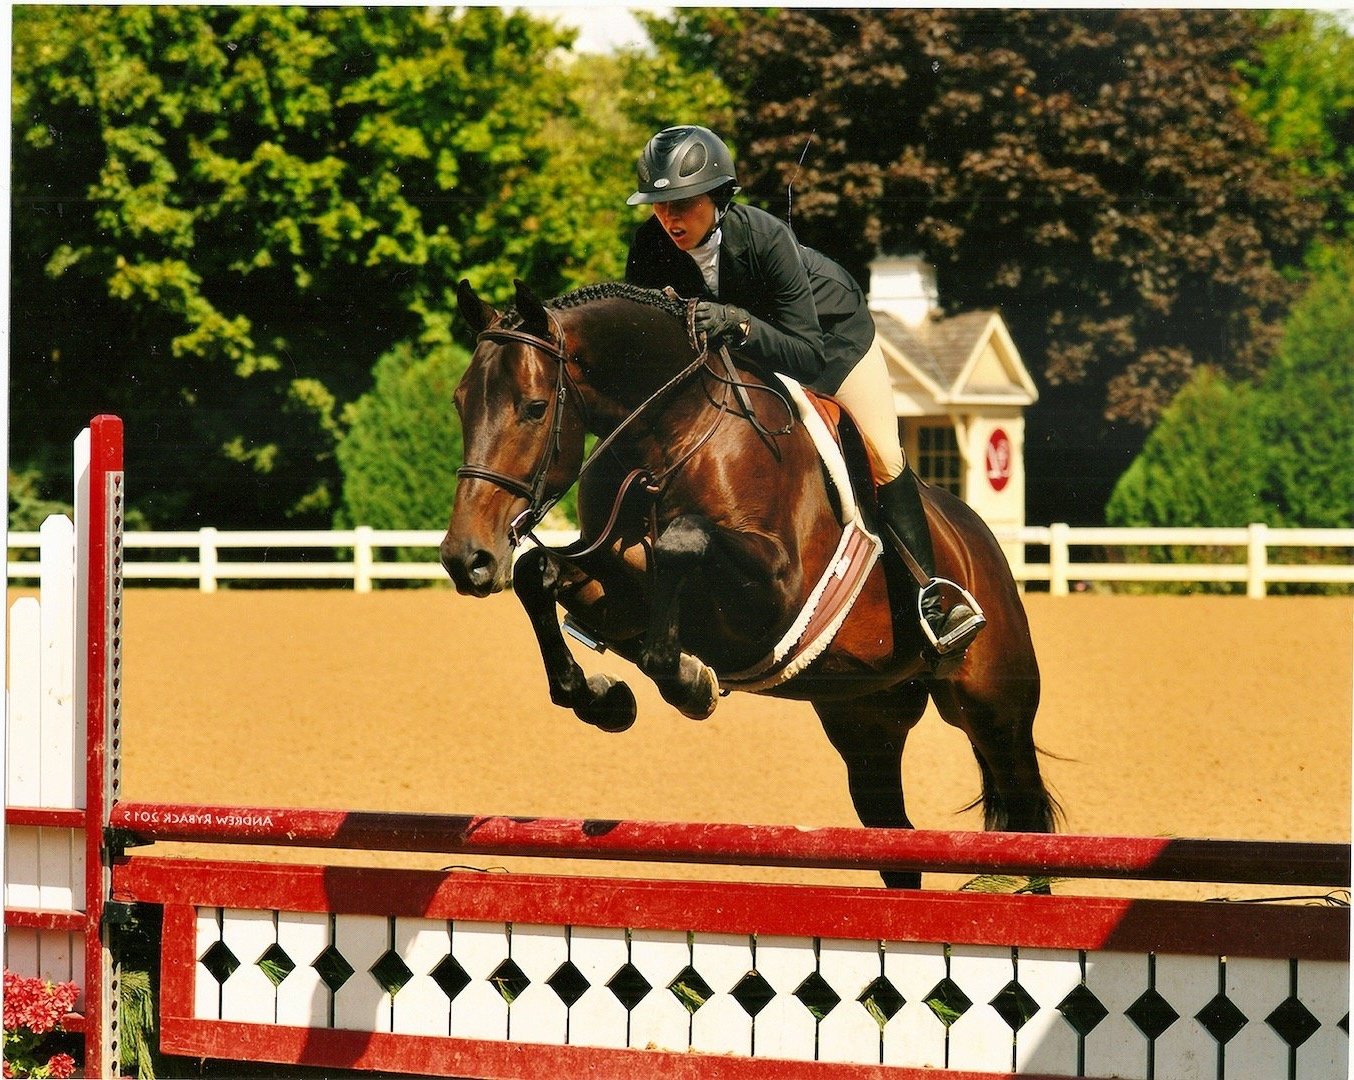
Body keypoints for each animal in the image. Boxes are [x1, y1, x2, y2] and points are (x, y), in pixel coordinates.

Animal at [441, 279, 1057, 887]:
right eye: (459, 402)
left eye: (534, 408)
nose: (465, 558)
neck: (669, 436)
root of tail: (978, 536)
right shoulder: (614, 571)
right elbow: (537, 574)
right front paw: (604, 697)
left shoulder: (776, 593)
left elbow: (680, 545)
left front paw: (687, 679)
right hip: (866, 719)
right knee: (896, 842)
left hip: (994, 705)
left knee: (1027, 814)